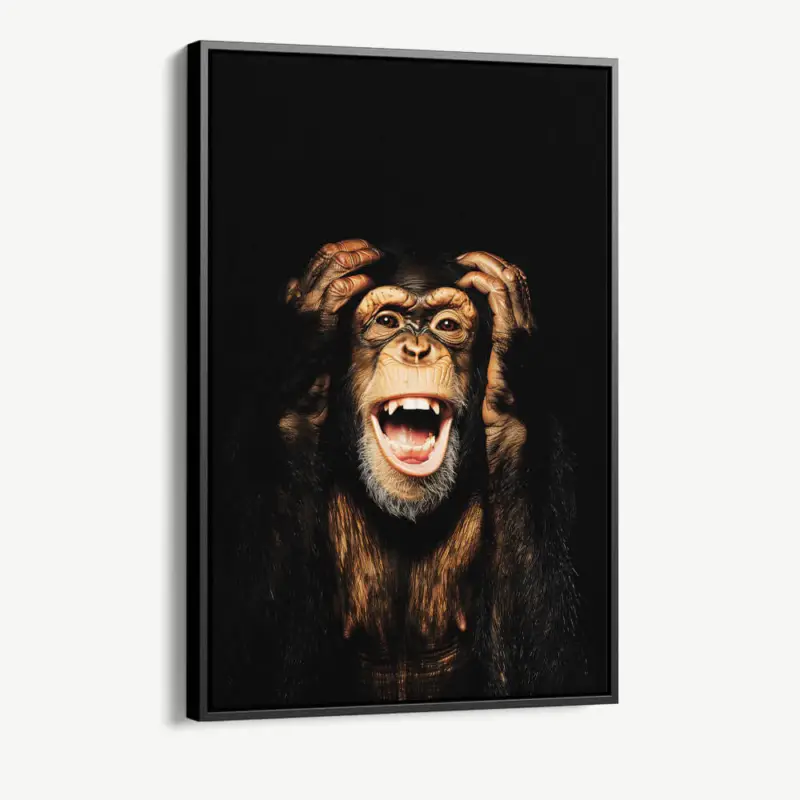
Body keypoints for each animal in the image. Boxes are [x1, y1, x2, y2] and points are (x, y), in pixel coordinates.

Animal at [216, 239, 585, 708]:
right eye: (388, 321)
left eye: (446, 325)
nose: (417, 348)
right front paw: (310, 329)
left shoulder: (552, 455)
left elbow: (547, 663)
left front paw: (510, 346)